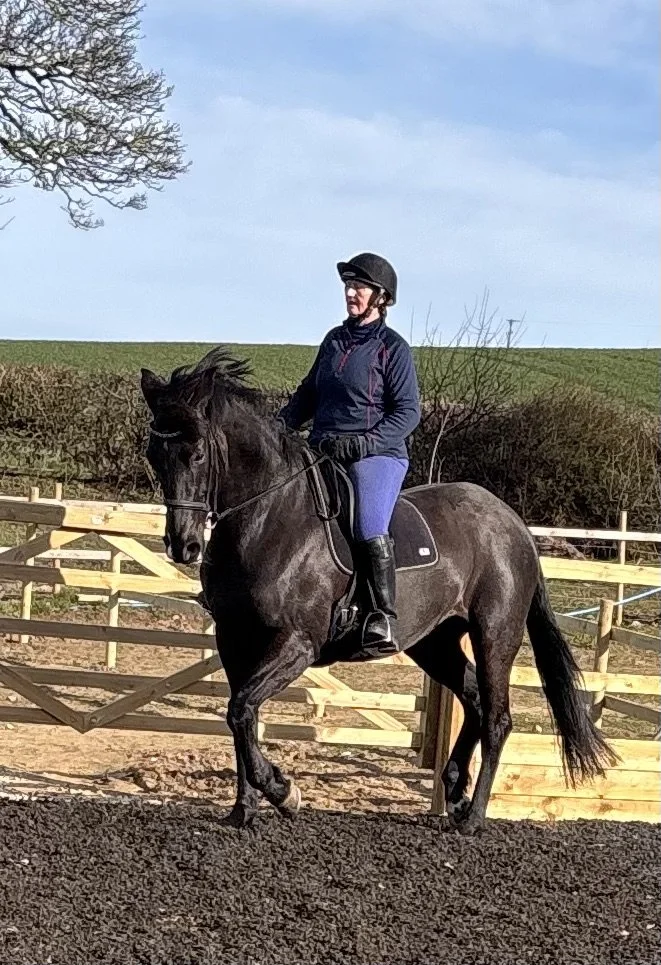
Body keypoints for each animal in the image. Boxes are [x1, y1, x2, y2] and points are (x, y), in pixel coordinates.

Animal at [140, 347, 616, 834]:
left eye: (198, 454)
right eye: (155, 454)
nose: (183, 545)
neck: (268, 518)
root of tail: (513, 523)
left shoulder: (297, 643)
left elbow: (241, 711)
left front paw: (284, 792)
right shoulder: (234, 640)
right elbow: (240, 717)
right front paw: (244, 809)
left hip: (494, 636)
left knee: (498, 718)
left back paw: (473, 817)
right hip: (434, 642)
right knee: (475, 701)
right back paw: (455, 793)